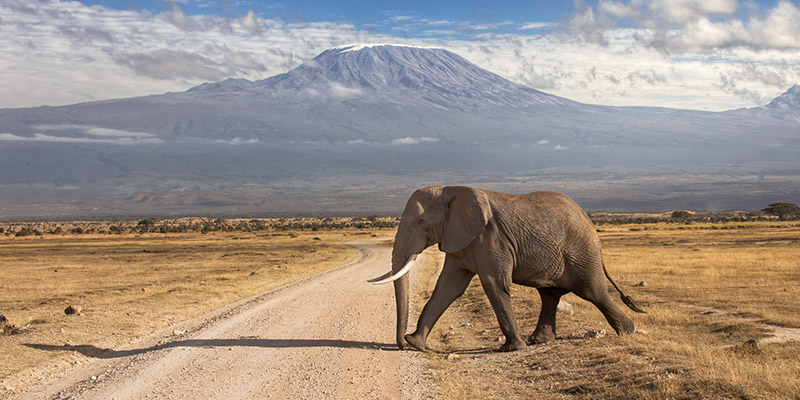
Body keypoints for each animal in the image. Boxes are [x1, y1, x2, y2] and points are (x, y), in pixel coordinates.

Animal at [368, 186, 644, 352]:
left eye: (422, 221)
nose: (401, 344)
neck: (451, 190)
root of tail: (588, 219)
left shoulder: (491, 238)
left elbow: (494, 284)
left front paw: (512, 349)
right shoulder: (461, 239)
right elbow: (448, 288)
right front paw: (416, 343)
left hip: (581, 252)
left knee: (593, 292)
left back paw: (628, 331)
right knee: (550, 295)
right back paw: (539, 341)